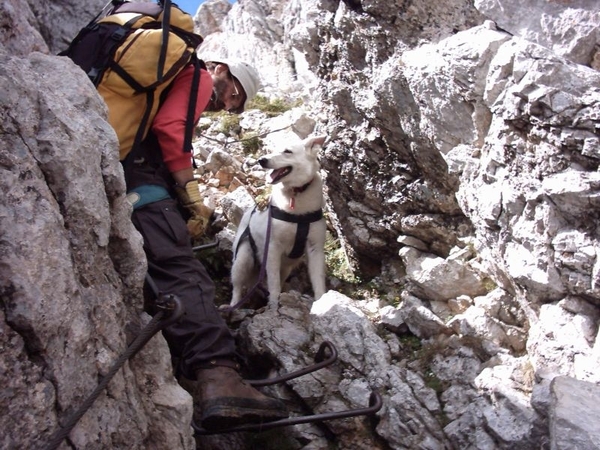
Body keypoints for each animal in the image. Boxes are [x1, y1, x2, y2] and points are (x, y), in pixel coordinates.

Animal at [231, 135, 328, 308]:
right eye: (271, 150)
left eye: (287, 151)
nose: (261, 160)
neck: (295, 194)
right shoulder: (273, 248)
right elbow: (274, 283)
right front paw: (274, 305)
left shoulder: (315, 248)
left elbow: (318, 281)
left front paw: (322, 303)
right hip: (242, 259)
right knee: (236, 287)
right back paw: (233, 306)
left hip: (285, 268)